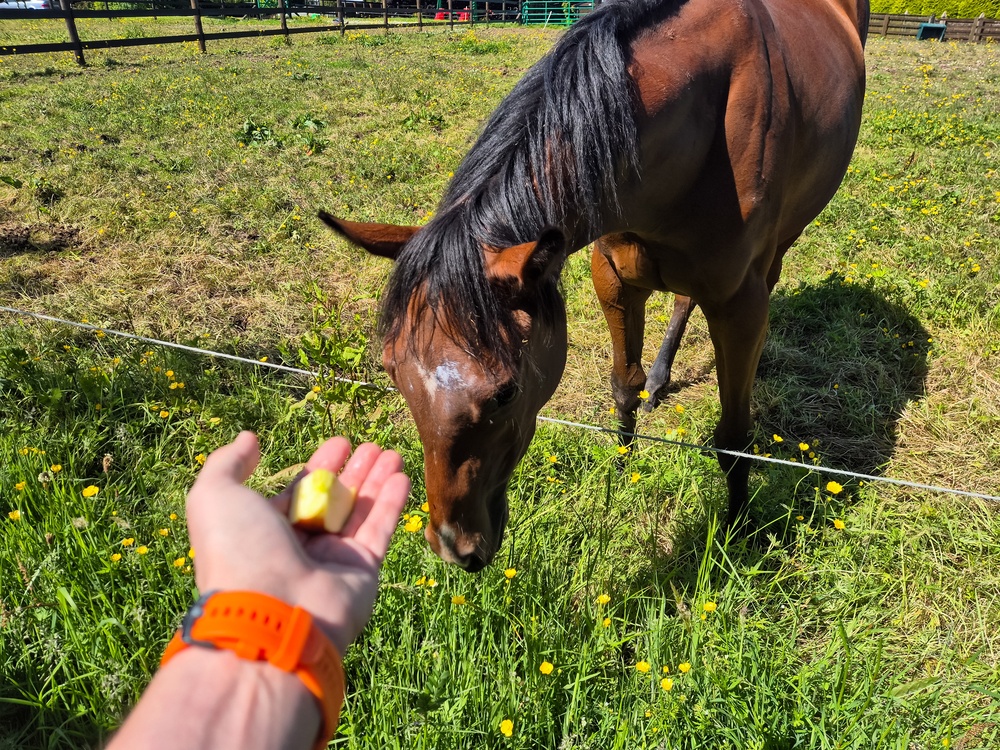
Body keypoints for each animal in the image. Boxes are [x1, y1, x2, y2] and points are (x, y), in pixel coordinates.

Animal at [320, 0, 869, 571]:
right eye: (392, 370)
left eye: (505, 392)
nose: (454, 547)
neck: (696, 130)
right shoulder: (614, 276)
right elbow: (624, 385)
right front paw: (624, 468)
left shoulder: (741, 305)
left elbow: (733, 437)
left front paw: (737, 531)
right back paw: (660, 379)